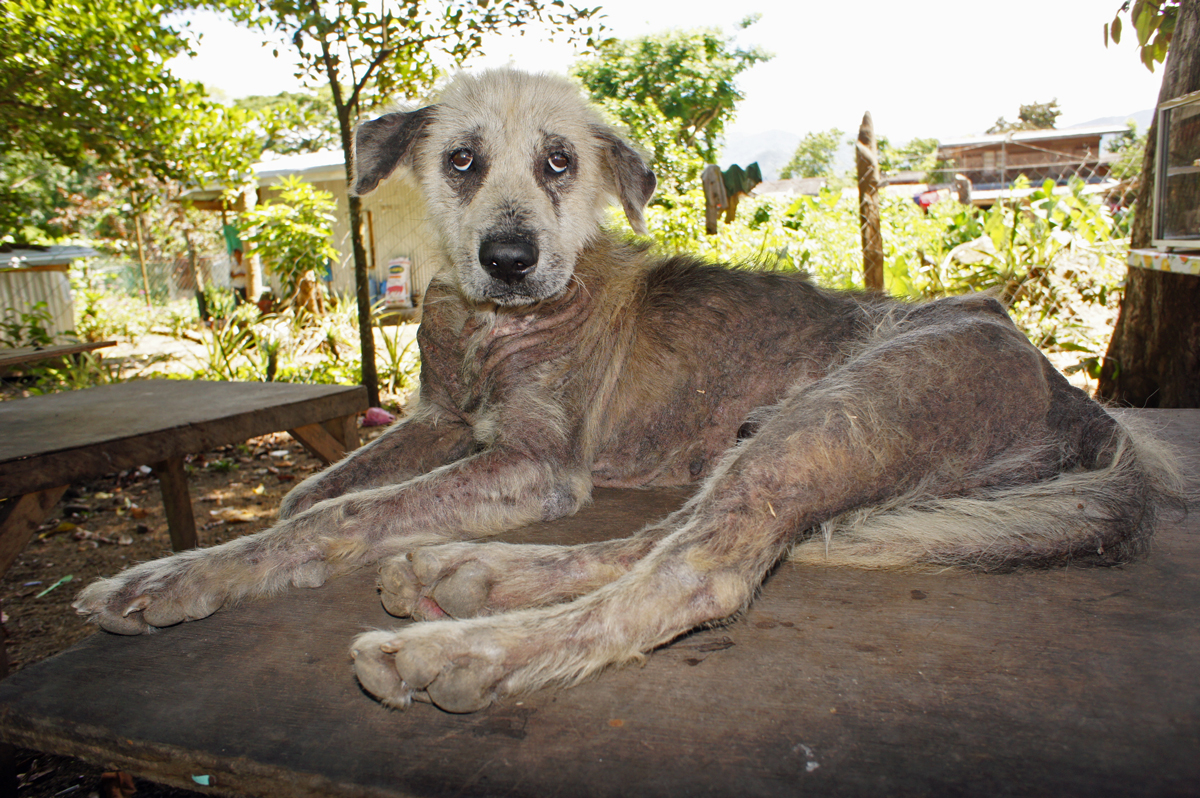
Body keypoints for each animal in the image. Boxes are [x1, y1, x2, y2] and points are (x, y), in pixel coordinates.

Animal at [72, 71, 1180, 710]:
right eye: (461, 161)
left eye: (561, 163)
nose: (510, 259)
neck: (493, 326)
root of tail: (1081, 402)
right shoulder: (437, 418)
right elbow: (316, 492)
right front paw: (228, 555)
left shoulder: (535, 464)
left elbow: (333, 515)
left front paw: (181, 576)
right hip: (764, 435)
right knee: (663, 537)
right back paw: (463, 575)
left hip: (846, 411)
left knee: (699, 574)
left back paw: (456, 653)